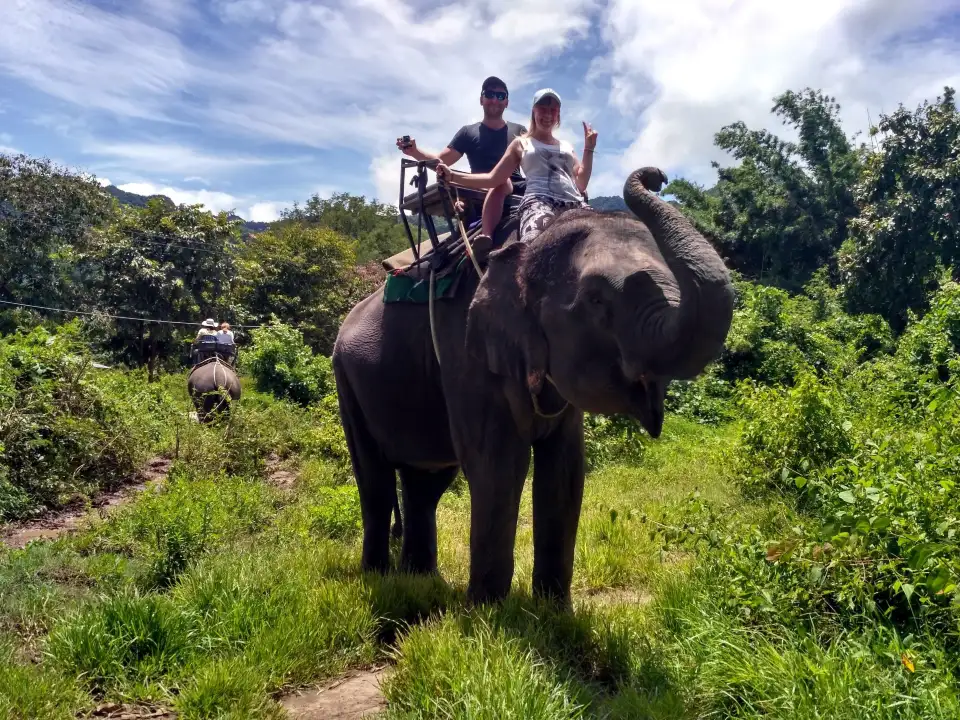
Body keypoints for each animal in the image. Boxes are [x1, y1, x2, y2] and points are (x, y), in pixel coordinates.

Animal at [331, 167, 734, 605]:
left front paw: (554, 610)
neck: (528, 246)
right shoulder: (465, 350)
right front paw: (488, 611)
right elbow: (498, 464)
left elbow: (565, 470)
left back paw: (420, 580)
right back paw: (379, 577)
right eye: (596, 300)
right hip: (347, 381)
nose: (656, 176)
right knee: (375, 481)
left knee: (426, 483)